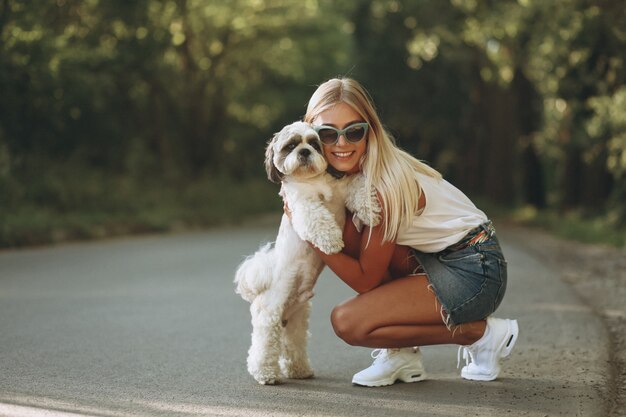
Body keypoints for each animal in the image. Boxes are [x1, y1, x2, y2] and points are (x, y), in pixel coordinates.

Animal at [234, 120, 380, 384]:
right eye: (290, 146)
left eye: (314, 143)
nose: (304, 152)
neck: (313, 180)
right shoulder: (301, 205)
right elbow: (317, 216)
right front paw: (331, 240)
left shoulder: (343, 188)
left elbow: (357, 188)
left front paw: (370, 209)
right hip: (269, 316)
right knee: (262, 347)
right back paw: (265, 373)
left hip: (296, 321)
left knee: (293, 344)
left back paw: (299, 370)